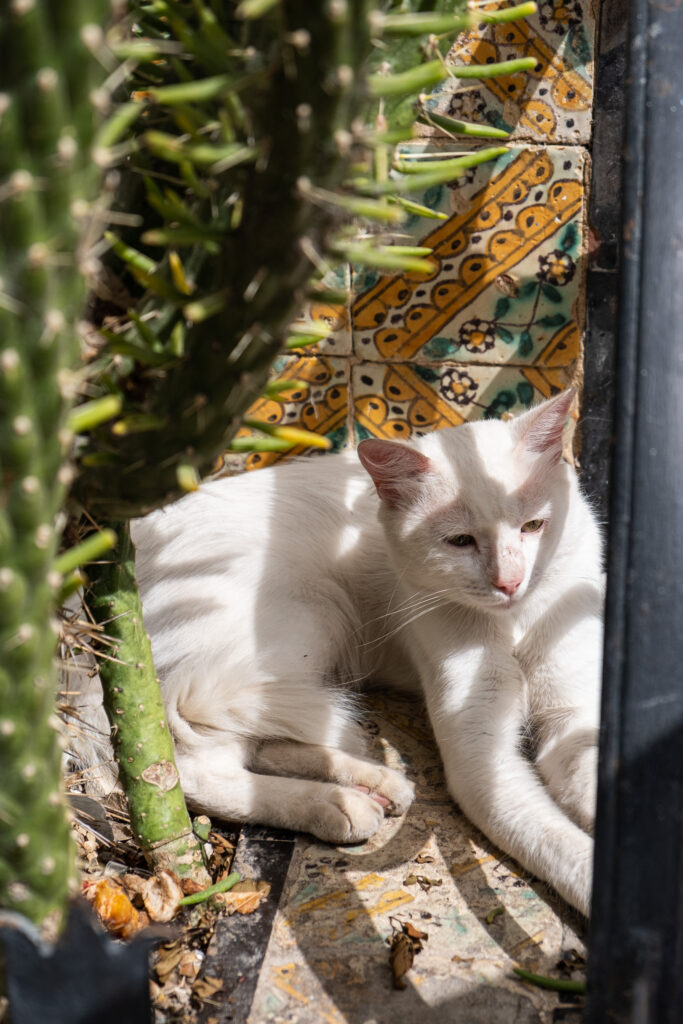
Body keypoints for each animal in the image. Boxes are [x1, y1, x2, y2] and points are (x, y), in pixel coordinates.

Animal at [129, 389, 602, 913]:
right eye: (459, 541)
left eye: (534, 525)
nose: (510, 582)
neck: (513, 624)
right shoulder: (482, 761)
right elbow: (558, 843)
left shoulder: (573, 719)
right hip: (296, 629)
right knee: (187, 770)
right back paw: (337, 805)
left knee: (260, 743)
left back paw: (373, 784)